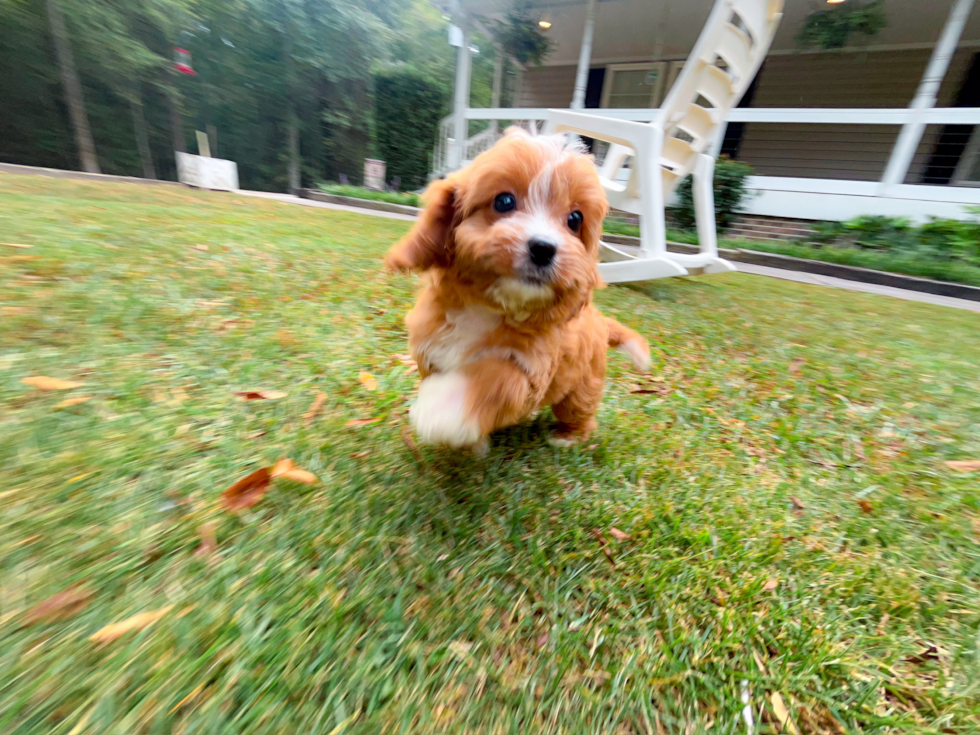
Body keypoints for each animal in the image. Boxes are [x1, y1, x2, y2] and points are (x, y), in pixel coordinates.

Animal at [384, 129, 652, 452]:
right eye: (504, 201)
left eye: (575, 220)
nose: (544, 248)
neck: (488, 307)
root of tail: (600, 320)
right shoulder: (430, 350)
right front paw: (473, 441)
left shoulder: (529, 370)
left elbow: (493, 380)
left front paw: (441, 410)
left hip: (582, 384)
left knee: (580, 409)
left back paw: (570, 436)